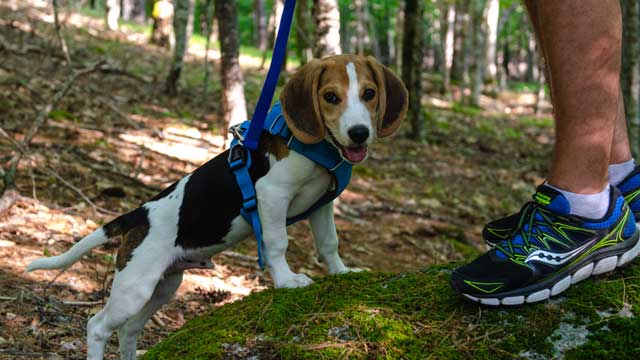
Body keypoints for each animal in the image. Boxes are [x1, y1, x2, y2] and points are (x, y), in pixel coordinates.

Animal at [25, 54, 408, 360]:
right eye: (330, 97)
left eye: (369, 93)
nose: (359, 133)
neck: (313, 145)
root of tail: (139, 214)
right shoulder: (271, 195)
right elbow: (276, 243)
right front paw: (287, 280)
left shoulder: (321, 205)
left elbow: (329, 243)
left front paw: (343, 272)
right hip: (135, 287)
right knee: (98, 326)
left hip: (163, 286)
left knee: (128, 330)